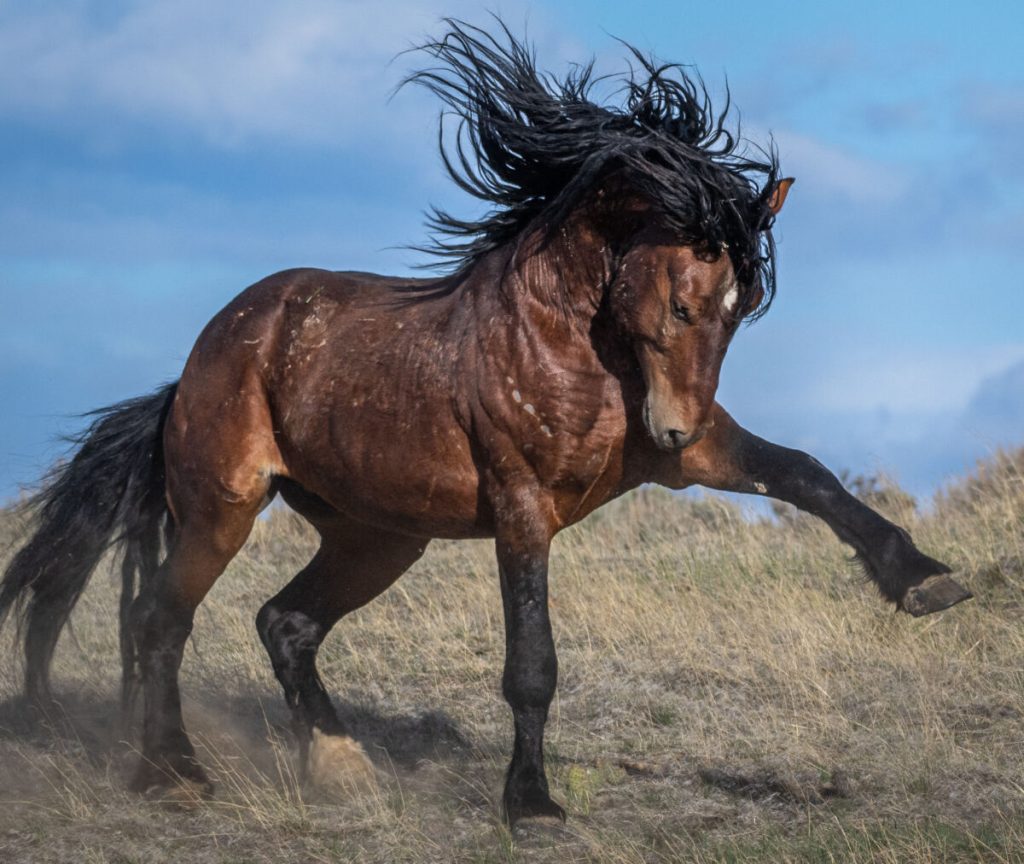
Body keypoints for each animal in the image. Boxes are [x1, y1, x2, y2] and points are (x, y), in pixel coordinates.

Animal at [0, 21, 966, 823]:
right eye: (685, 305)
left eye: (742, 310)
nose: (675, 428)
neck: (571, 340)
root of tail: (197, 365)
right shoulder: (523, 503)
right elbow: (531, 662)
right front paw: (531, 803)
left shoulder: (676, 463)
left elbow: (807, 473)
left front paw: (924, 581)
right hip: (224, 508)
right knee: (159, 621)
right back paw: (172, 773)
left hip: (379, 536)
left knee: (284, 623)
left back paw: (341, 765)